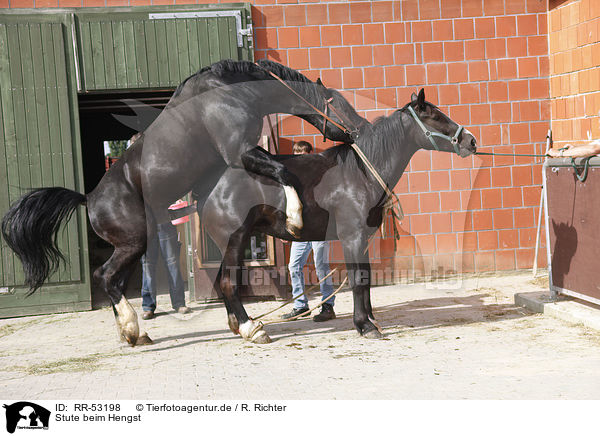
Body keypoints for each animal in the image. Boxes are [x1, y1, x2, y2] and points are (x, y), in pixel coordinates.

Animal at [1, 58, 366, 344]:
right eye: (339, 103)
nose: (361, 129)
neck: (230, 91)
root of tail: (89, 198)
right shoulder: (240, 152)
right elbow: (283, 171)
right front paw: (294, 218)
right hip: (133, 243)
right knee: (104, 276)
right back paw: (135, 329)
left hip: (133, 246)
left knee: (112, 279)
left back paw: (135, 332)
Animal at [204, 89, 476, 340]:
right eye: (436, 117)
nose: (471, 141)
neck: (361, 172)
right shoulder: (351, 236)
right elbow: (356, 280)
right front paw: (364, 325)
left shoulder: (363, 239)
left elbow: (365, 278)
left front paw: (371, 320)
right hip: (235, 240)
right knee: (229, 283)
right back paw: (251, 329)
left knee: (223, 282)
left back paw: (237, 325)